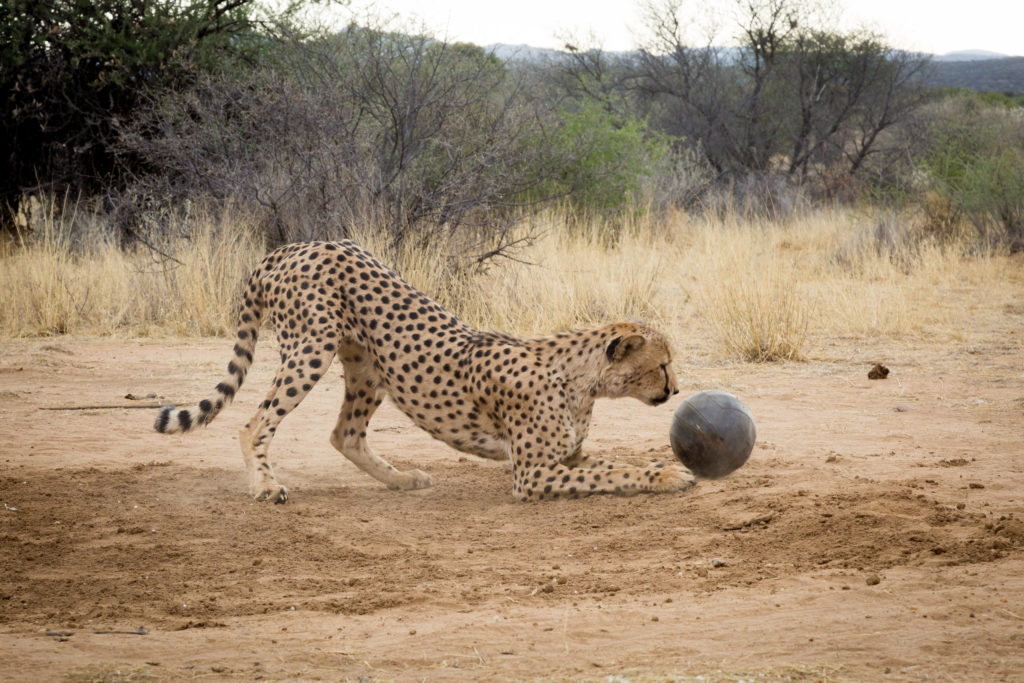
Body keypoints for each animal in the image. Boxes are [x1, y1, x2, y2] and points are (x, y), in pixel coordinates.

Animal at [153, 240, 696, 501]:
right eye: (663, 364)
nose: (675, 390)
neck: (581, 380)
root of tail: (292, 246)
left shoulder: (567, 457)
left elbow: (611, 463)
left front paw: (668, 467)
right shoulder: (532, 474)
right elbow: (616, 473)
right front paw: (668, 477)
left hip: (367, 366)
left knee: (344, 433)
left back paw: (402, 481)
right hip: (312, 346)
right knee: (255, 422)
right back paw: (265, 487)